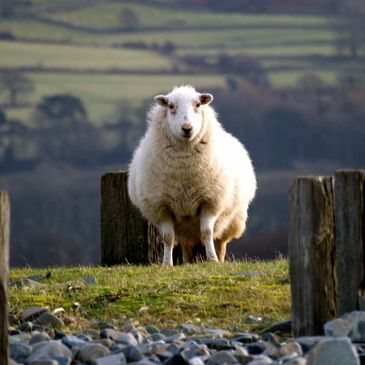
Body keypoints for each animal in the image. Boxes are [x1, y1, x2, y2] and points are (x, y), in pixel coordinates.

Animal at [128, 85, 256, 266]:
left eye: (197, 105)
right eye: (171, 106)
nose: (187, 128)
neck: (184, 170)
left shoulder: (209, 203)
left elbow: (207, 232)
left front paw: (212, 260)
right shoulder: (162, 207)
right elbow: (168, 237)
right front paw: (167, 264)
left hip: (232, 221)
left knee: (219, 240)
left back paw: (219, 259)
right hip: (186, 232)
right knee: (187, 246)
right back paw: (188, 263)